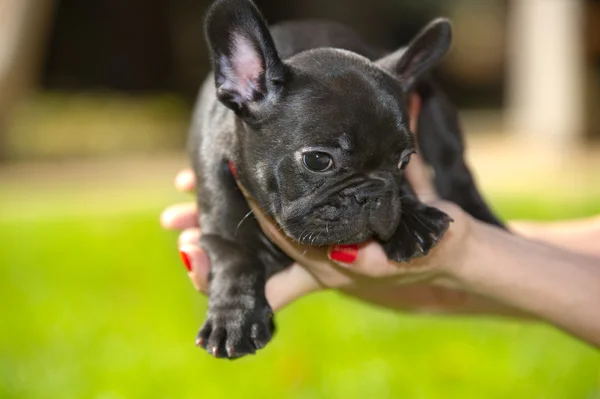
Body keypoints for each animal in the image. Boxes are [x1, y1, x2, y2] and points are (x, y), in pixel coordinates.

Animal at [190, 0, 504, 360]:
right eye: (317, 160)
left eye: (405, 161)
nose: (370, 193)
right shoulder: (219, 223)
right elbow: (236, 258)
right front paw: (234, 319)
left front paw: (414, 223)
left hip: (438, 112)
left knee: (456, 170)